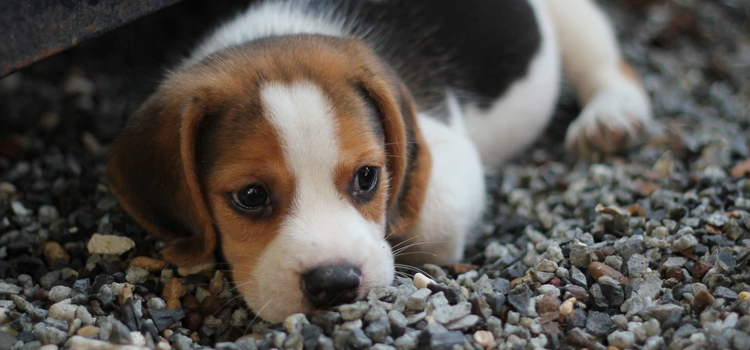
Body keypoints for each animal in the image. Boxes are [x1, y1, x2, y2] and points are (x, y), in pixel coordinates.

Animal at [106, 0, 652, 322]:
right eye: (251, 196)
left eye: (368, 177)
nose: (335, 283)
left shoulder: (448, 155)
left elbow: (427, 216)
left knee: (605, 60)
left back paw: (611, 117)